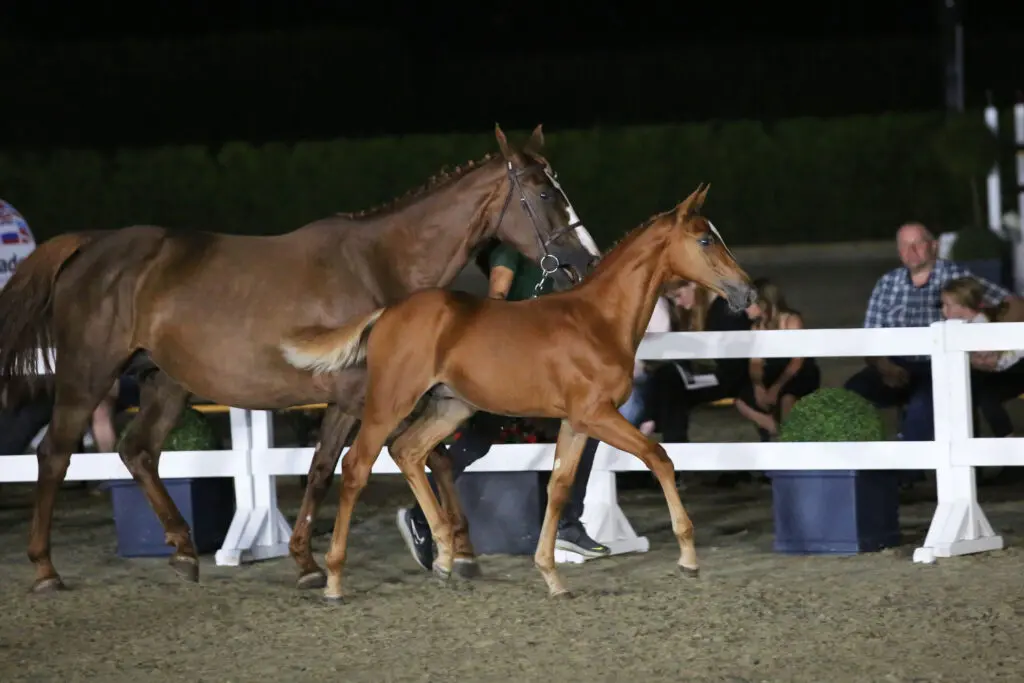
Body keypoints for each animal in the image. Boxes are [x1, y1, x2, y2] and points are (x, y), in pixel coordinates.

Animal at [0, 123, 600, 594]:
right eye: (544, 195)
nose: (585, 263)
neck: (378, 265)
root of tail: (90, 245)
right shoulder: (369, 397)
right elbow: (394, 461)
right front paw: (433, 549)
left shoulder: (362, 400)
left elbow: (335, 470)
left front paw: (315, 562)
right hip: (87, 375)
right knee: (55, 456)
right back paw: (46, 569)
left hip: (166, 382)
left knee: (138, 451)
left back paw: (183, 552)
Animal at [280, 183, 755, 600]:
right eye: (705, 239)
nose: (747, 292)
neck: (598, 320)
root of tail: (386, 312)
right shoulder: (597, 414)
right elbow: (659, 457)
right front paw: (689, 557)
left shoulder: (577, 421)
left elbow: (560, 486)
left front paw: (552, 577)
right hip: (388, 404)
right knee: (356, 467)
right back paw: (334, 580)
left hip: (451, 407)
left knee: (409, 452)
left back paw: (445, 558)